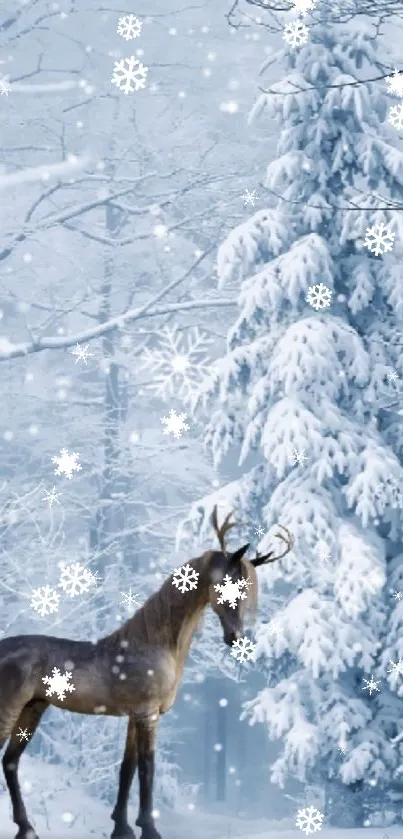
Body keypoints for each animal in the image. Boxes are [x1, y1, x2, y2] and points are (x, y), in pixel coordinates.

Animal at [0, 506, 294, 839]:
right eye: (227, 584)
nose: (236, 637)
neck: (152, 643)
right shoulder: (147, 714)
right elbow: (147, 768)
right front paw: (149, 828)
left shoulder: (134, 716)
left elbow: (127, 768)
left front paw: (122, 827)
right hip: (9, 709)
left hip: (31, 711)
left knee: (10, 763)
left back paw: (26, 828)